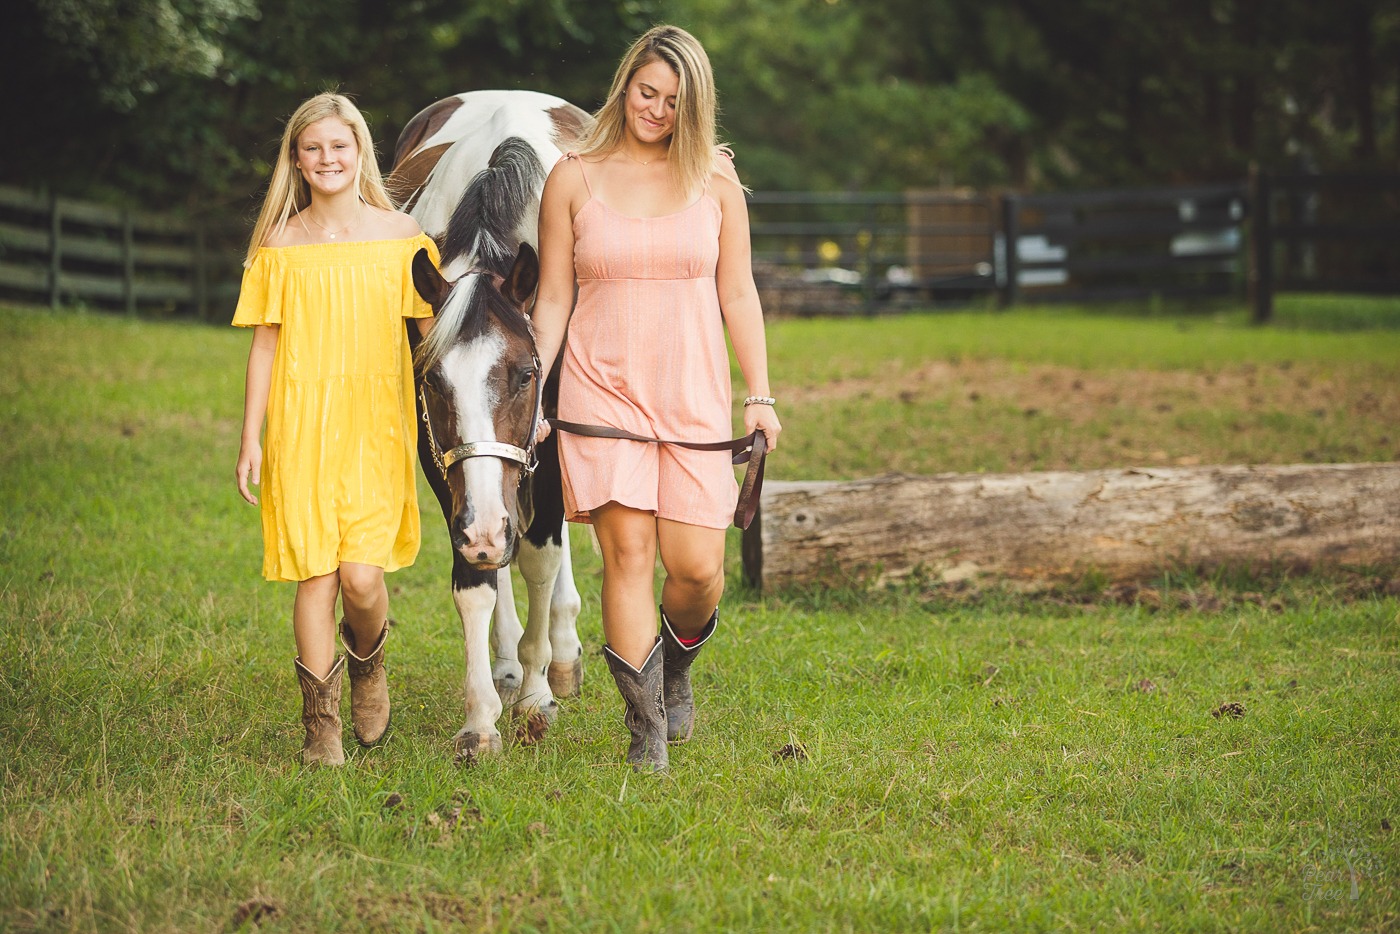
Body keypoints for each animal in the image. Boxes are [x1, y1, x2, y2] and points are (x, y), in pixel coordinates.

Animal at [392, 89, 593, 761]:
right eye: (432, 382)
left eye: (528, 374)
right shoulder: (445, 463)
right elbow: (478, 580)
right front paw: (482, 716)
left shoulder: (550, 449)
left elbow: (540, 561)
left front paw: (537, 692)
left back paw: (561, 653)